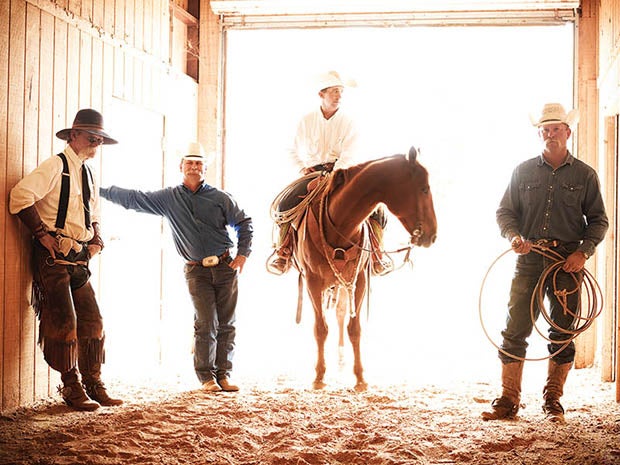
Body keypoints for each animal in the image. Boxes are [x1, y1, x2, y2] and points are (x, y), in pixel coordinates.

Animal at [294, 147, 436, 390]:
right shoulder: (312, 281)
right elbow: (321, 328)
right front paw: (319, 375)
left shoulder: (359, 279)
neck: (341, 223)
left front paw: (360, 377)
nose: (433, 234)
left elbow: (354, 328)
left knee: (341, 315)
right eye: (424, 188)